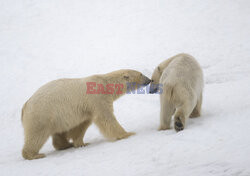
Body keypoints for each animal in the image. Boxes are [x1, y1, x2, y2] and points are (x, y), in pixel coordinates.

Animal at [21, 69, 150, 160]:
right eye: (141, 74)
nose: (149, 80)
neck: (105, 83)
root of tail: (25, 105)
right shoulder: (98, 98)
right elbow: (106, 117)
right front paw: (128, 134)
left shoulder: (86, 108)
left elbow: (82, 125)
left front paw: (82, 143)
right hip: (42, 114)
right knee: (37, 134)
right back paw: (34, 155)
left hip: (56, 117)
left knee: (59, 133)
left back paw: (66, 144)